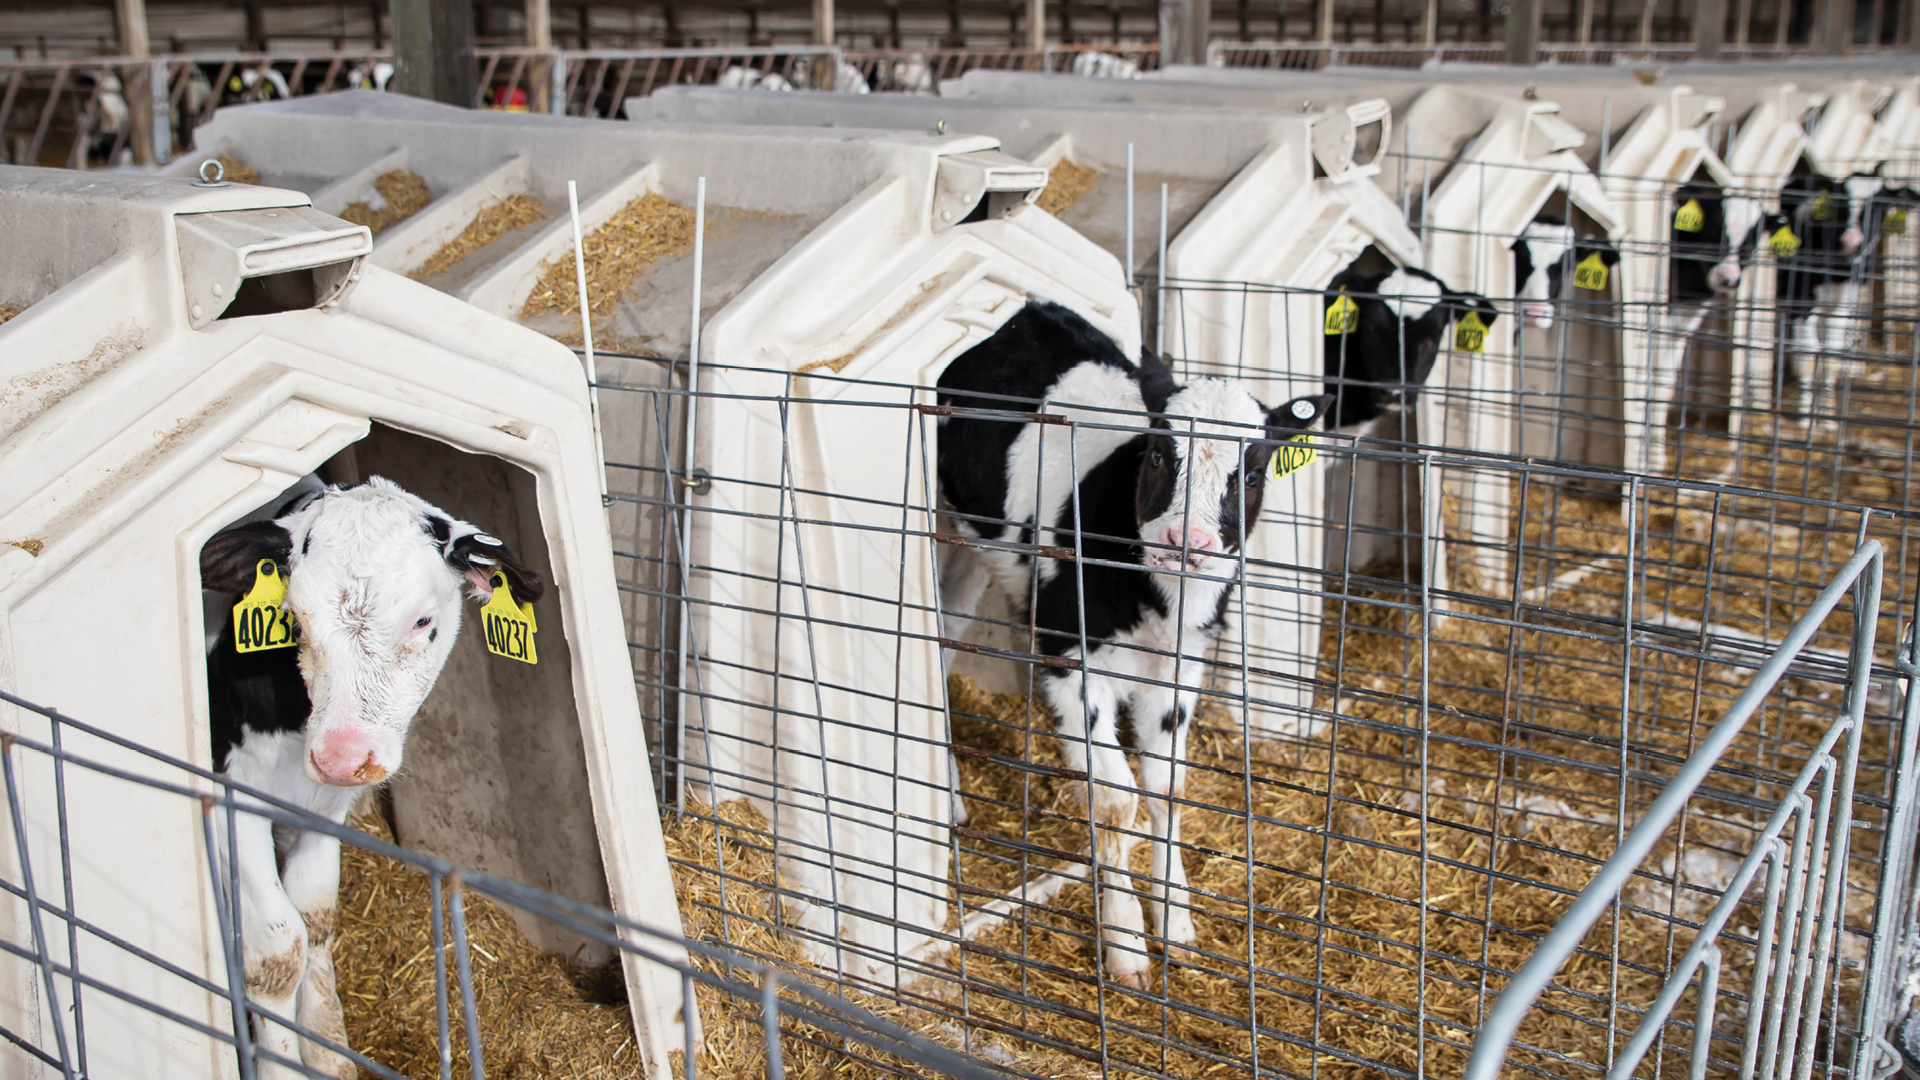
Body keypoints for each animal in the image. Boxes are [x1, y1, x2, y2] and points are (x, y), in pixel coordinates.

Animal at [200, 478, 541, 1076]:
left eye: (423, 621)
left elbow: (314, 919)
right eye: (295, 618)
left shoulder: (324, 807)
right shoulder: (229, 798)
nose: (341, 757)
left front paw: (327, 1051)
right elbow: (277, 951)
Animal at [933, 297, 1328, 980]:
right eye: (1160, 456)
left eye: (1251, 474)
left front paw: (1177, 924)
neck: (1156, 602)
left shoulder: (1180, 668)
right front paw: (1125, 946)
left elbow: (1166, 790)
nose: (1185, 541)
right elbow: (1116, 803)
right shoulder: (1072, 658)